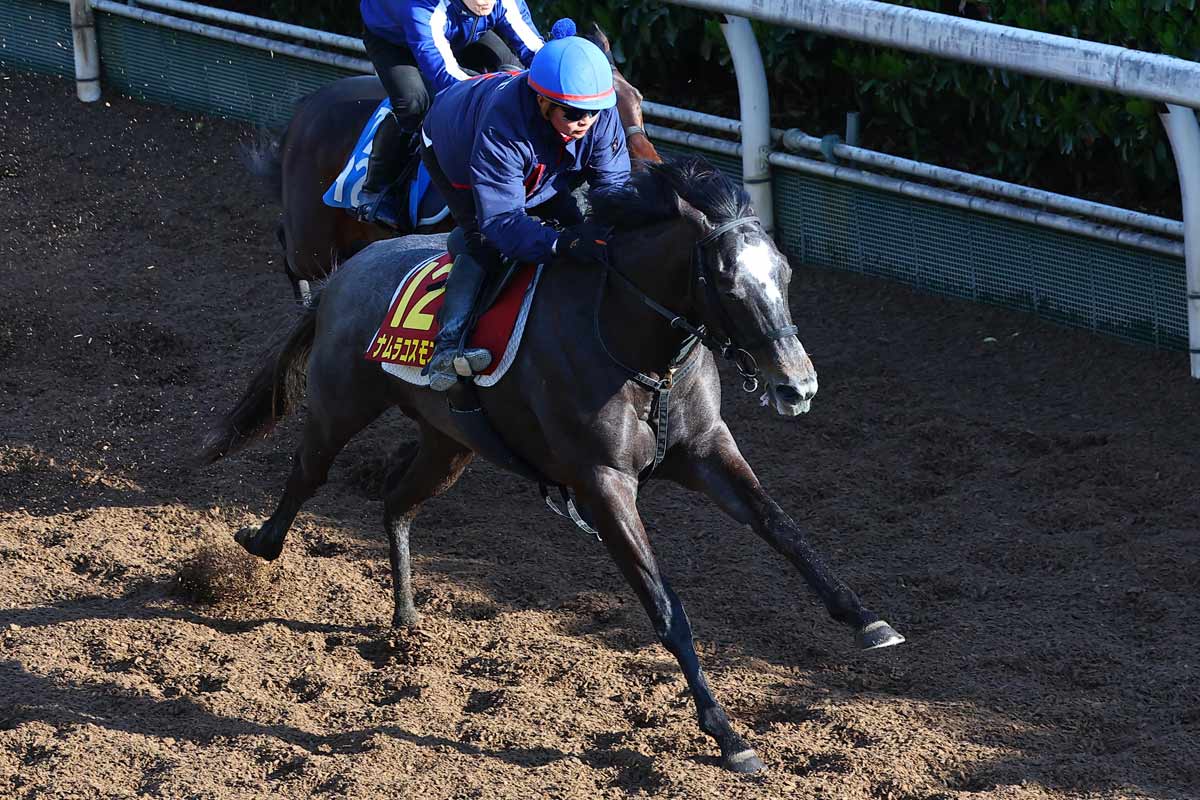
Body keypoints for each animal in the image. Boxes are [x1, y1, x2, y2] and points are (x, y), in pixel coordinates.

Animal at [200, 155, 902, 773]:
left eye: (784, 275)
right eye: (727, 283)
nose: (797, 386)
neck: (636, 347)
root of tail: (345, 276)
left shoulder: (706, 449)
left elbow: (781, 526)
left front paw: (867, 620)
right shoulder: (603, 485)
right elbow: (665, 606)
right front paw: (727, 735)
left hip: (449, 442)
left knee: (397, 500)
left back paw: (405, 620)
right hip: (342, 402)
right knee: (308, 471)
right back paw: (259, 544)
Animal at [245, 24, 660, 299]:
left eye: (638, 99)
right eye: (607, 112)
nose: (650, 168)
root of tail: (303, 112)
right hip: (312, 243)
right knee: (290, 251)